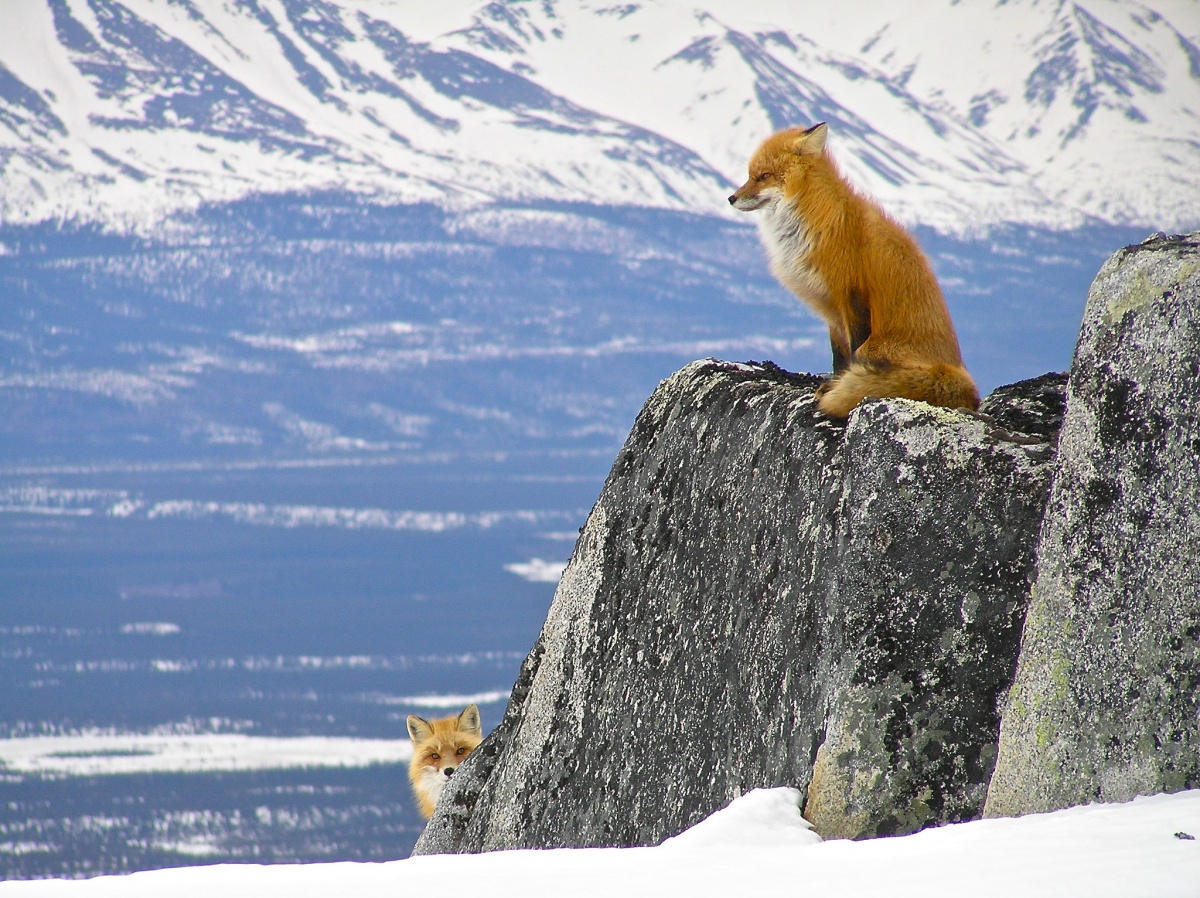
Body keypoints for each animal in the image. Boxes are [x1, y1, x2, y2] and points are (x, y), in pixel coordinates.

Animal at [724, 123, 979, 417]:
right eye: (749, 175)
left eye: (763, 176)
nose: (731, 198)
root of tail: (965, 385)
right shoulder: (832, 309)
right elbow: (839, 356)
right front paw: (835, 382)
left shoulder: (852, 294)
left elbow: (852, 353)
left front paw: (837, 387)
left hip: (876, 348)